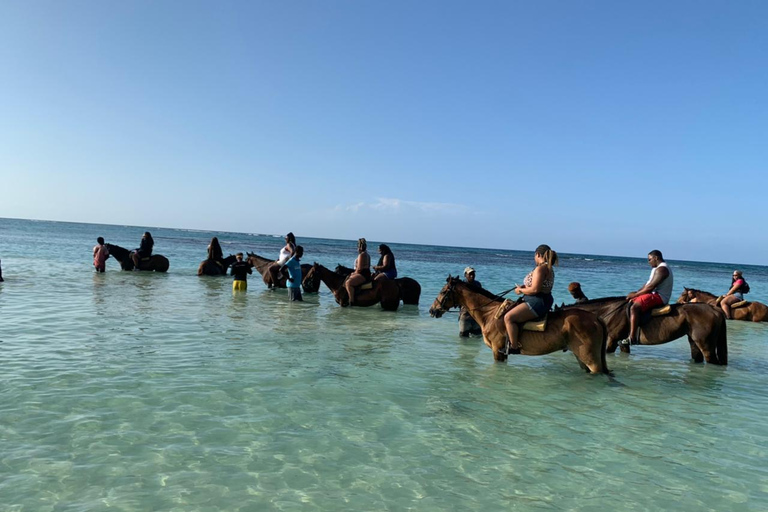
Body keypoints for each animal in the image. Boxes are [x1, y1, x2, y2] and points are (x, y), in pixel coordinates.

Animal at [428, 276, 608, 372]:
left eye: (443, 291)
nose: (432, 310)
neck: (490, 313)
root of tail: (596, 318)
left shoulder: (498, 351)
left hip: (591, 359)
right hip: (580, 356)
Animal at [560, 296, 728, 364]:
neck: (609, 311)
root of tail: (715, 309)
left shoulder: (612, 340)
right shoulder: (621, 342)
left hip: (706, 345)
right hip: (693, 341)